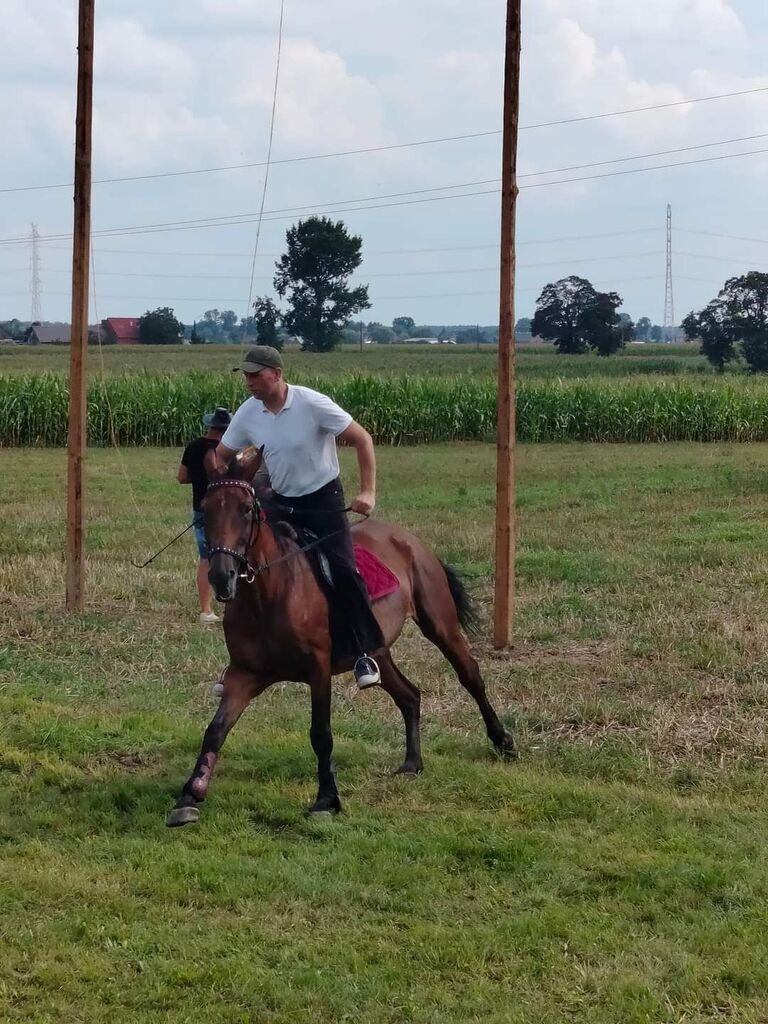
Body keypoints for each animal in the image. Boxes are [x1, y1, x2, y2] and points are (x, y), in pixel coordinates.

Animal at [167, 452, 518, 827]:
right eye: (206, 508)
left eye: (247, 509)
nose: (221, 576)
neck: (271, 593)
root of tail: (408, 540)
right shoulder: (243, 675)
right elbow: (215, 730)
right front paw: (189, 796)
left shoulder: (318, 669)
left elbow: (320, 733)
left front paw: (326, 799)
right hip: (377, 649)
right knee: (409, 696)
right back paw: (412, 763)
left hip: (440, 625)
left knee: (470, 675)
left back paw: (503, 741)